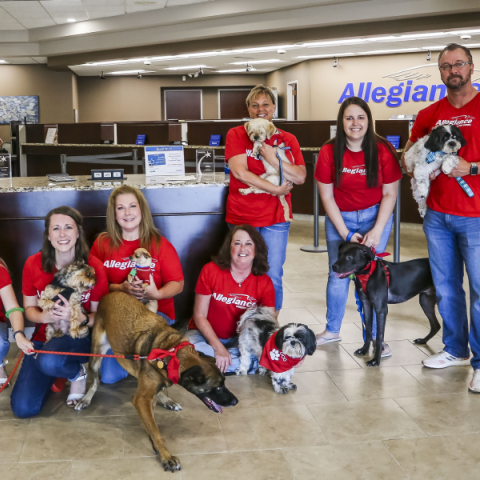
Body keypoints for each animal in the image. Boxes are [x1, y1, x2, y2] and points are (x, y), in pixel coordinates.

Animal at [75, 292, 238, 472]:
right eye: (217, 388)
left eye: (224, 382)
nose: (236, 401)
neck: (172, 354)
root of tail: (113, 292)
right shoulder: (142, 399)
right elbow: (155, 430)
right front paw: (166, 456)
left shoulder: (148, 395)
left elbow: (152, 424)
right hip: (96, 355)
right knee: (95, 381)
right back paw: (85, 399)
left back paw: (166, 400)